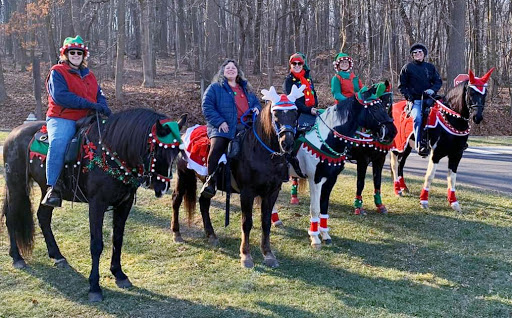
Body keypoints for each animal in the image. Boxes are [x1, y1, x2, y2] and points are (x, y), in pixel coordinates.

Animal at [2, 108, 186, 300]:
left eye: (176, 152)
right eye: (157, 150)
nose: (162, 187)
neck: (110, 153)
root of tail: (13, 133)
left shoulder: (124, 204)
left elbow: (117, 239)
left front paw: (119, 274)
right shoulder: (97, 204)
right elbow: (96, 244)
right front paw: (94, 286)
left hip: (45, 190)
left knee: (43, 217)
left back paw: (57, 255)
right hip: (16, 186)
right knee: (11, 217)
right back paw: (17, 257)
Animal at [170, 85, 302, 268]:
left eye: (295, 114)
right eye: (276, 115)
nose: (287, 143)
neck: (260, 152)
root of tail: (184, 134)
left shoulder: (272, 192)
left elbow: (266, 222)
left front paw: (268, 254)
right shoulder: (247, 193)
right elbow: (247, 223)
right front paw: (246, 256)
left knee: (204, 202)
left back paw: (211, 235)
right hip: (183, 176)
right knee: (176, 200)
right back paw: (177, 234)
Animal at [390, 68, 494, 211]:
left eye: (485, 93)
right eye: (471, 92)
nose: (477, 117)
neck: (451, 118)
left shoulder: (457, 154)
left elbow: (452, 177)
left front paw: (454, 202)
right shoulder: (436, 153)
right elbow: (429, 175)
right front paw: (424, 201)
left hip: (408, 146)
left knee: (401, 163)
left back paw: (403, 187)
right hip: (398, 145)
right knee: (395, 165)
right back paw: (397, 190)